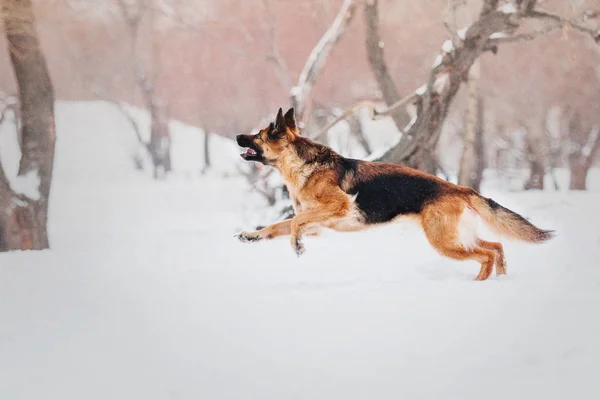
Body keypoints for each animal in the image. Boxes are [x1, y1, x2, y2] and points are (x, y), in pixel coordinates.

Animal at [234, 106, 552, 282]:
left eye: (258, 135)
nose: (237, 136)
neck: (300, 164)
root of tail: (459, 188)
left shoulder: (337, 207)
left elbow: (294, 225)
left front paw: (297, 245)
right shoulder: (317, 224)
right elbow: (278, 225)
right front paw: (252, 235)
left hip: (444, 242)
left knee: (485, 254)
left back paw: (479, 283)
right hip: (457, 238)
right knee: (496, 247)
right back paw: (500, 277)